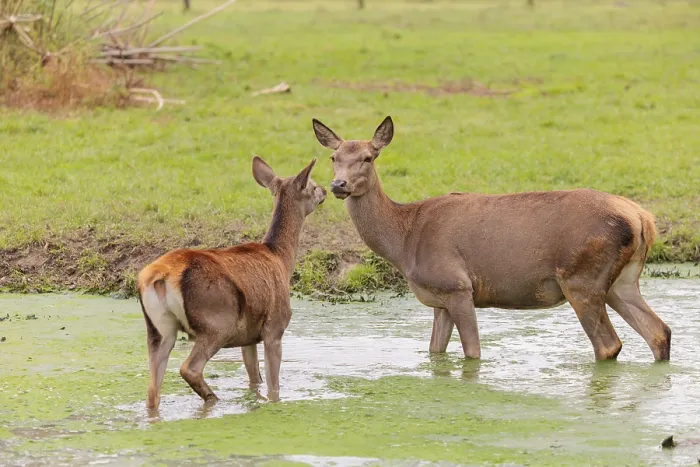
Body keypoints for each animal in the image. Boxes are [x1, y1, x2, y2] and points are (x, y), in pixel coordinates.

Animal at [137, 156, 326, 410]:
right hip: (217, 321)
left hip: (158, 329)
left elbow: (255, 377)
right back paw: (213, 399)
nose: (326, 190)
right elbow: (273, 383)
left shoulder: (249, 336)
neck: (281, 259)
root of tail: (160, 275)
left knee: (152, 390)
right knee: (190, 368)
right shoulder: (275, 326)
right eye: (312, 186)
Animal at [312, 116, 671, 363]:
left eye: (368, 157)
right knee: (659, 331)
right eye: (333, 158)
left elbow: (473, 352)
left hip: (582, 278)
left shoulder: (458, 286)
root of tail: (642, 218)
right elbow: (434, 352)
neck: (404, 240)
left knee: (609, 345)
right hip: (622, 280)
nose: (339, 185)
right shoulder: (439, 297)